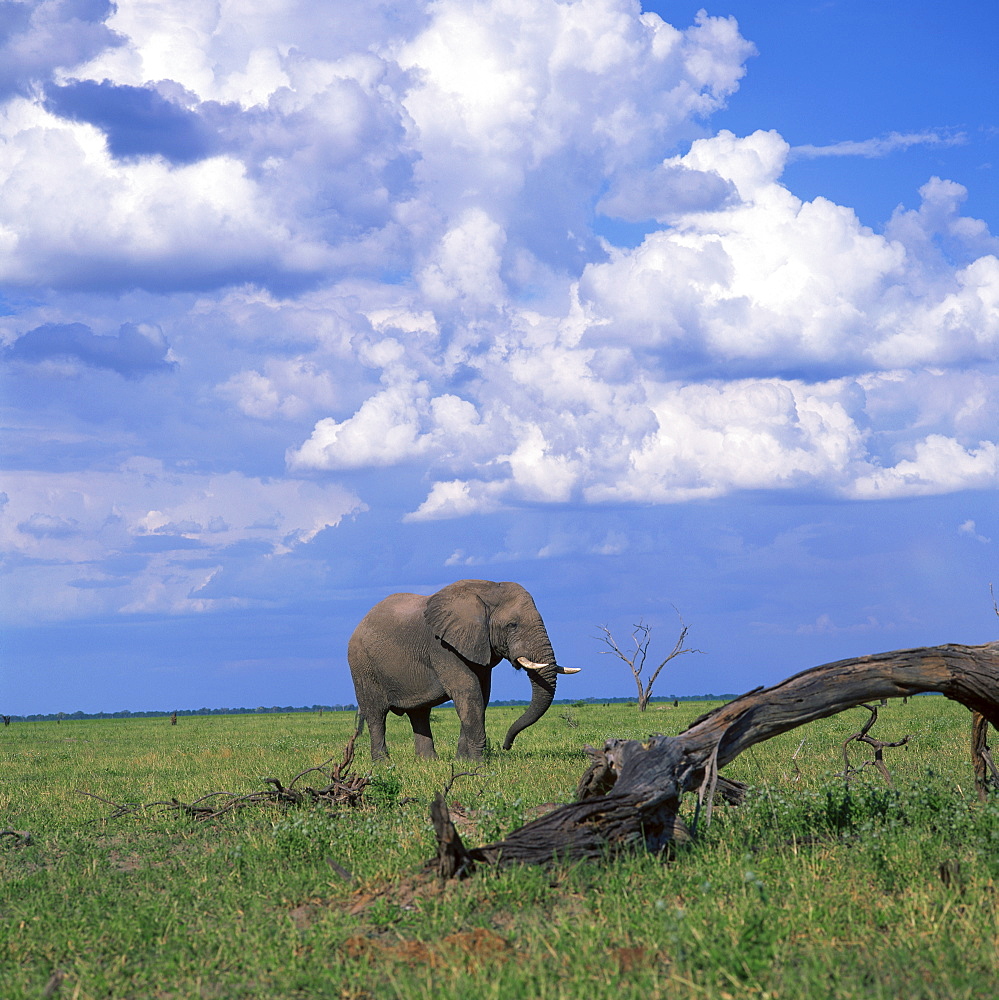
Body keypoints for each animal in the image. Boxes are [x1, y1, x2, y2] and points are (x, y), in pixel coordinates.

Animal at [346, 580, 580, 756]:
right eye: (512, 625)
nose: (506, 746)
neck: (486, 591)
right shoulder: (442, 646)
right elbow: (468, 691)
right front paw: (478, 764)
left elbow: (481, 695)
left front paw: (462, 762)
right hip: (362, 665)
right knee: (376, 714)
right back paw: (383, 764)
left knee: (419, 713)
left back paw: (428, 762)